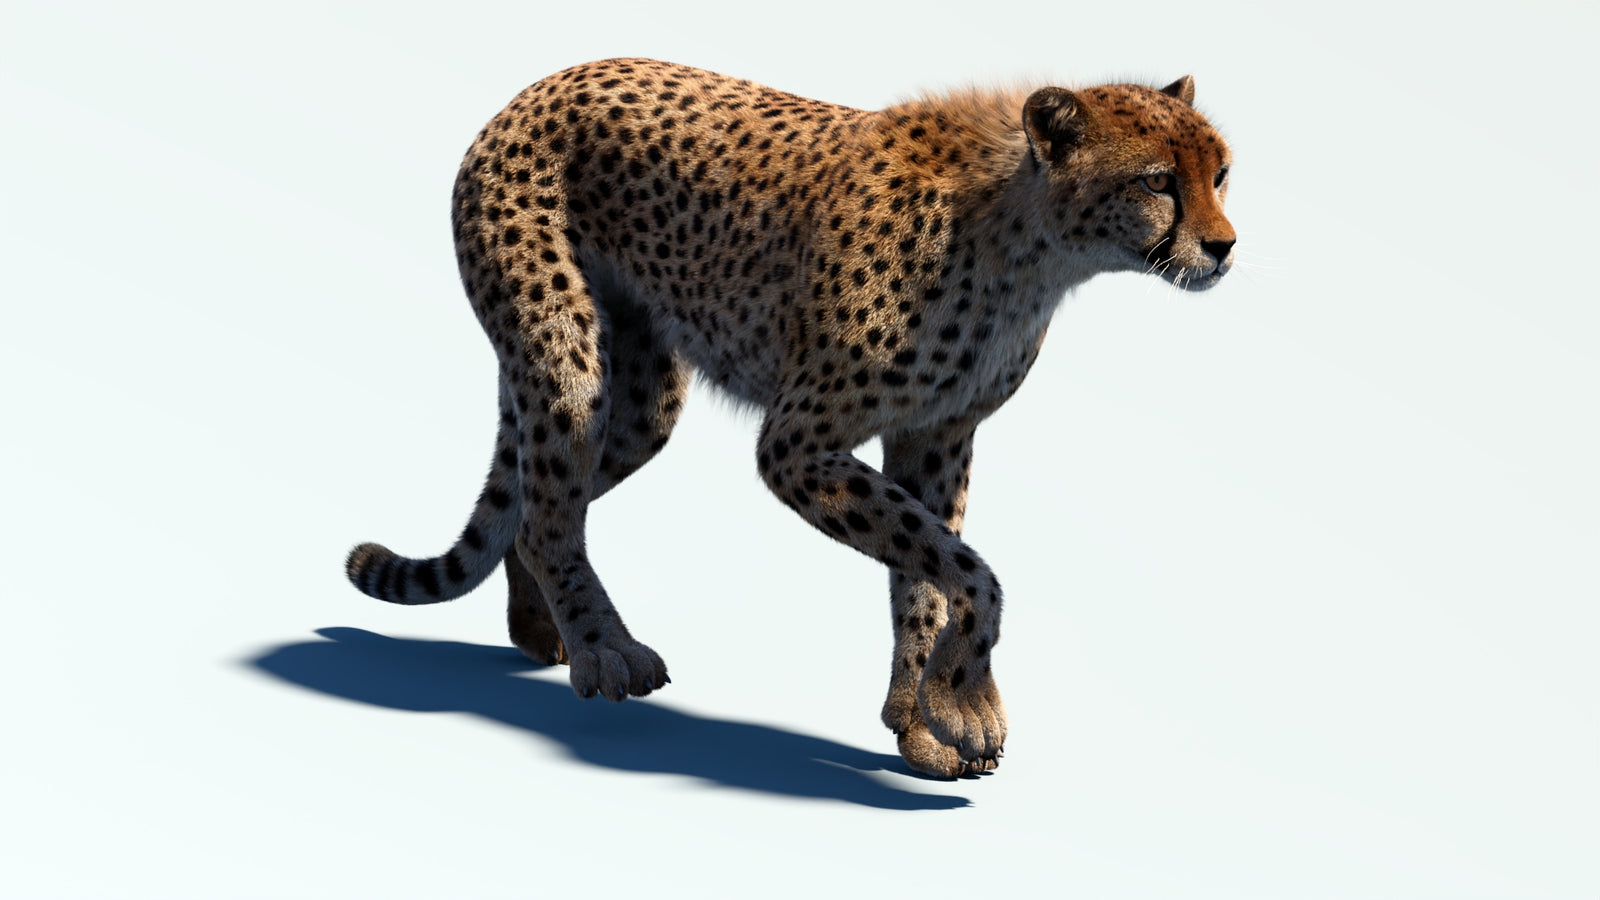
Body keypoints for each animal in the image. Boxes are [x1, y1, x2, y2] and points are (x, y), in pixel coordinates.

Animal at [345, 58, 1235, 778]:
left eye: (1222, 172)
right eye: (1158, 180)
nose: (1224, 245)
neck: (1028, 242)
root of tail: (541, 84)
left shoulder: (936, 437)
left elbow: (928, 576)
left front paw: (920, 718)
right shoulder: (798, 445)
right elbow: (969, 569)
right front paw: (966, 707)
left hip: (640, 403)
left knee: (535, 501)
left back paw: (541, 630)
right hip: (566, 356)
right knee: (546, 507)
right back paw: (604, 652)